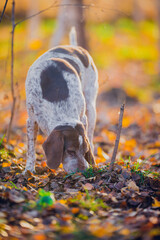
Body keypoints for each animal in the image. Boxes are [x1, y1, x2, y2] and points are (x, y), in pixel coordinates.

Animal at [23, 30, 98, 172]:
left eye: (84, 150)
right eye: (70, 151)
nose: (84, 170)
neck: (59, 105)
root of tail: (75, 47)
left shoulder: (83, 118)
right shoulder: (31, 120)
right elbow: (31, 149)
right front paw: (29, 170)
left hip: (91, 108)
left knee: (91, 136)